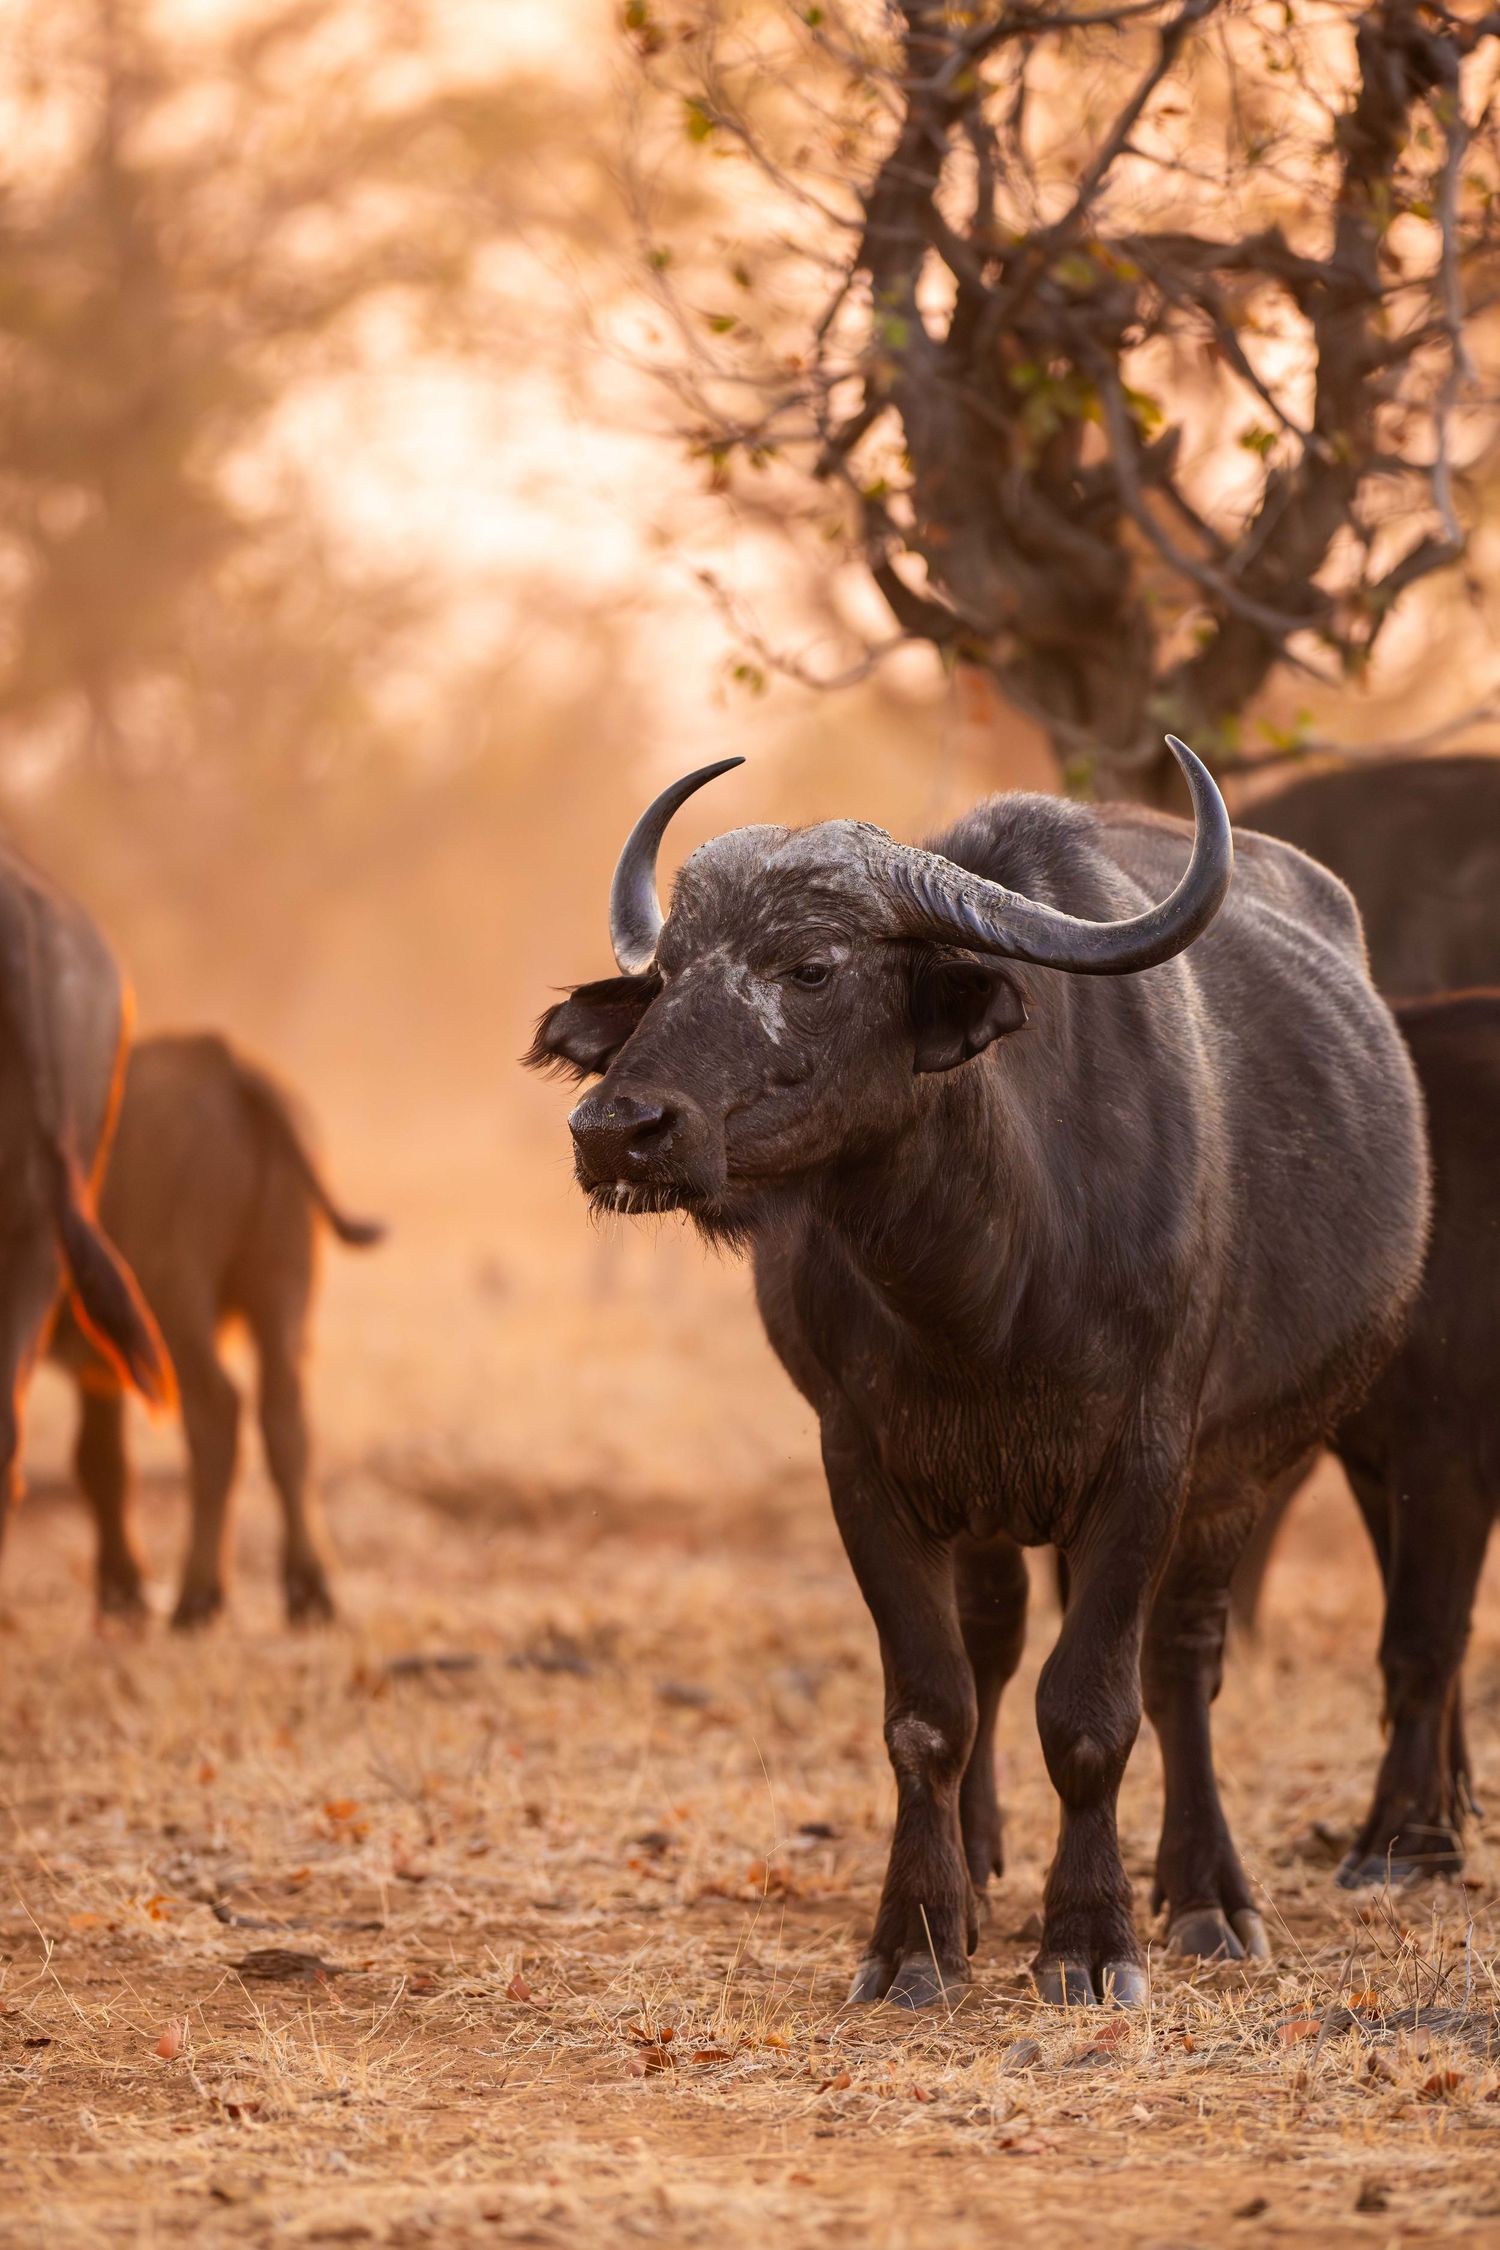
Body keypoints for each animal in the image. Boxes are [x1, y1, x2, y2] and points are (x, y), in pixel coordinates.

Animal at [49, 1033, 383, 1628]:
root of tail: (229, 1065)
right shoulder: (100, 1368)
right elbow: (100, 1460)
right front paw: (122, 1591)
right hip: (282, 1283)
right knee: (285, 1416)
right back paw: (309, 1589)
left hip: (177, 1302)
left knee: (216, 1414)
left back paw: (198, 1597)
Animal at [525, 740, 1429, 2007]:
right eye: (664, 978)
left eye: (811, 967)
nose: (618, 1129)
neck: (984, 1287)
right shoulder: (863, 1461)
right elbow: (931, 1706)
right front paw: (917, 1930)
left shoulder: (1150, 1461)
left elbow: (1095, 1711)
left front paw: (1092, 1938)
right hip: (990, 1498)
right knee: (995, 1642)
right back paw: (985, 1856)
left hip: (1240, 1473)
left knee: (1183, 1664)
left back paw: (1206, 1890)